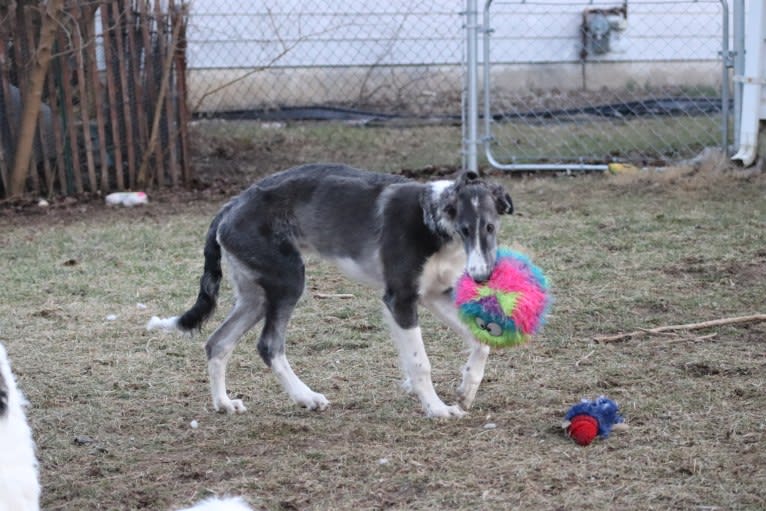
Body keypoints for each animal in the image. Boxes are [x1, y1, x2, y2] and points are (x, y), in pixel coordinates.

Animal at [148, 165, 512, 420]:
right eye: (464, 229)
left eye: (490, 227)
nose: (482, 276)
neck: (431, 220)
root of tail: (230, 206)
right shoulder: (400, 299)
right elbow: (420, 363)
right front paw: (437, 409)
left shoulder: (436, 295)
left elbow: (483, 340)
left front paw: (466, 390)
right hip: (288, 280)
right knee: (268, 345)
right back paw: (306, 397)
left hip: (255, 295)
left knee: (218, 342)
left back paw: (224, 404)